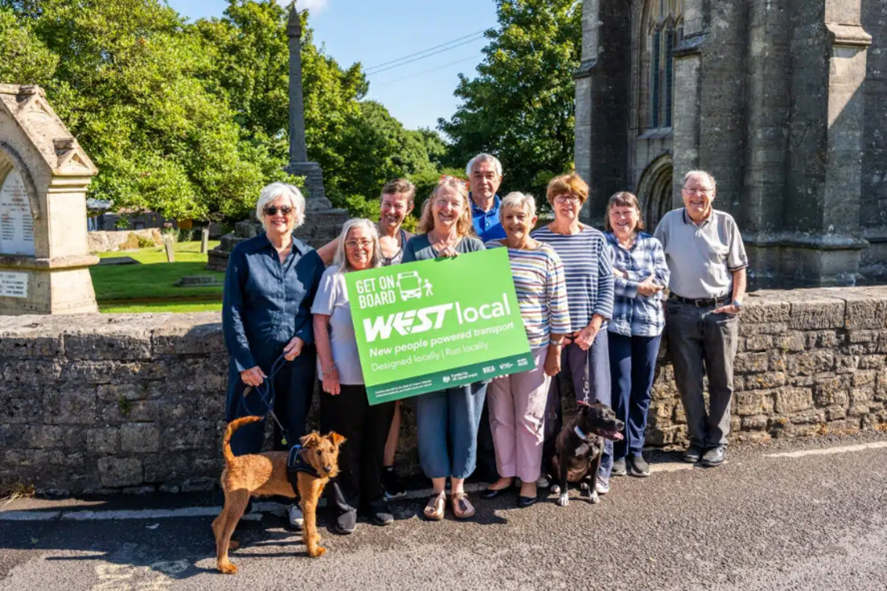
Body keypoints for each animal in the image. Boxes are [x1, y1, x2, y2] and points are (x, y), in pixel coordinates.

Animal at [211, 416, 344, 572]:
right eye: (318, 452)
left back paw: (227, 546)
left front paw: (309, 539)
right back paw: (224, 564)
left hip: (232, 501)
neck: (308, 461)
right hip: (238, 504)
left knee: (217, 523)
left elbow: (308, 524)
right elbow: (311, 524)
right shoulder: (308, 500)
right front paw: (313, 550)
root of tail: (233, 461)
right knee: (224, 534)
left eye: (332, 450)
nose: (328, 469)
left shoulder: (309, 499)